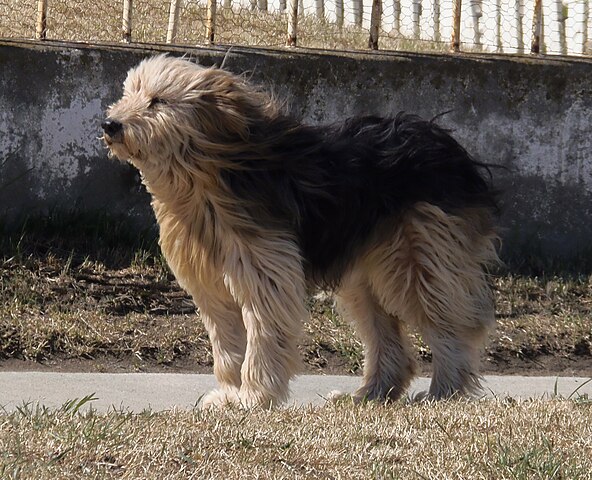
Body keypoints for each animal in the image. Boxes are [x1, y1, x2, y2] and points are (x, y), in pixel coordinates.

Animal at [103, 54, 500, 406]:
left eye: (157, 100)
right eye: (130, 92)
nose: (110, 124)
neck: (204, 176)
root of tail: (449, 147)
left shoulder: (265, 274)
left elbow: (263, 335)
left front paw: (254, 397)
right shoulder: (211, 288)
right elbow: (227, 346)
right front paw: (229, 395)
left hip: (419, 259)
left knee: (450, 325)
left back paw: (444, 391)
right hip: (365, 276)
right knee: (387, 337)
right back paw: (370, 395)